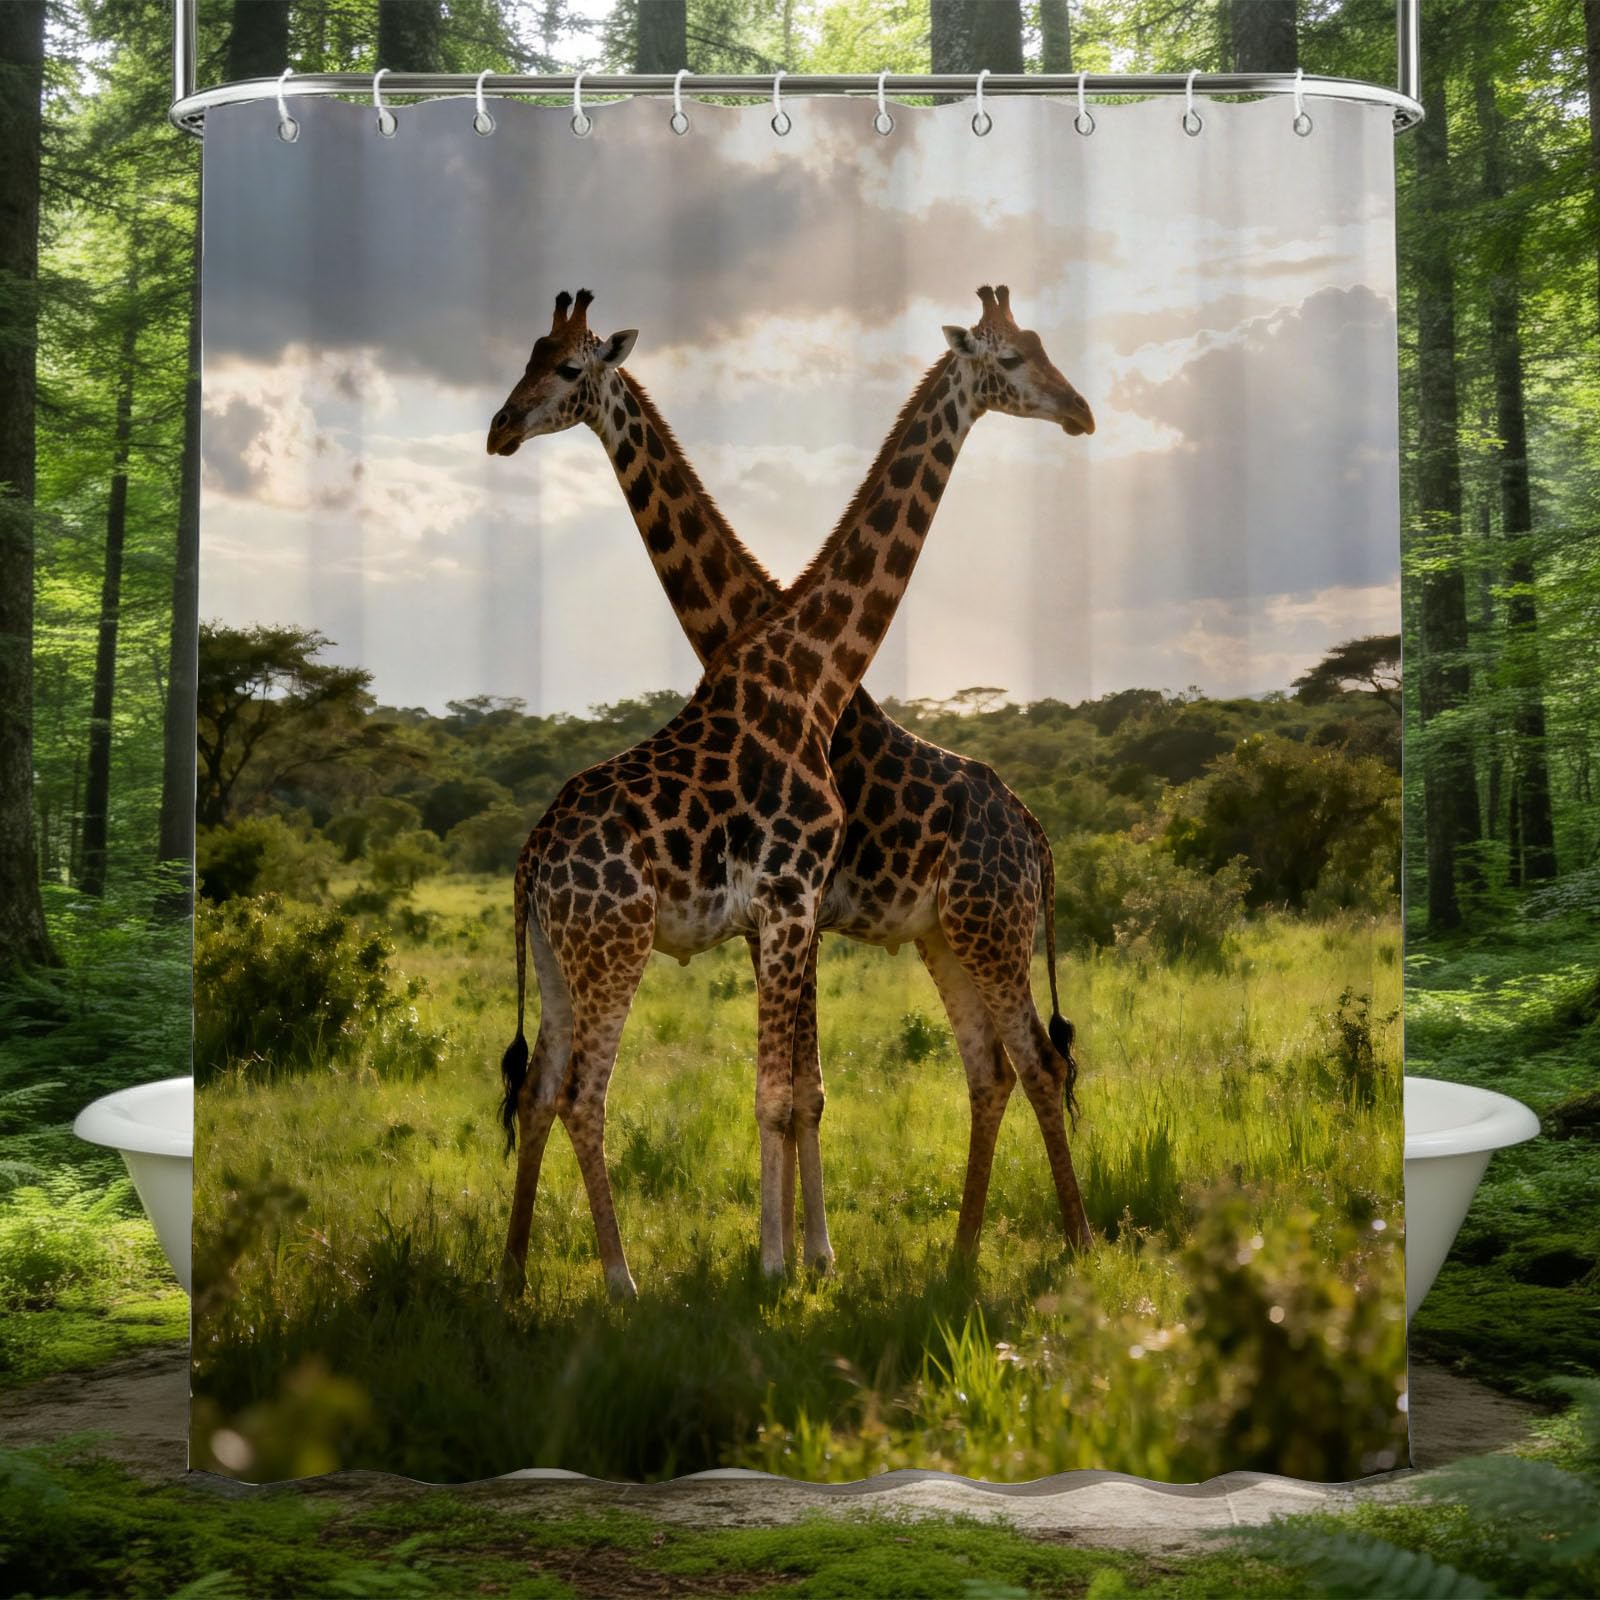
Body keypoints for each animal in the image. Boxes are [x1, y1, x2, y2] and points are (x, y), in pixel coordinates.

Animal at [489, 287, 1095, 1298]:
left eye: (566, 367)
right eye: (1014, 360)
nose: (499, 428)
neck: (801, 662)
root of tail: (1035, 833)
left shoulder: (789, 907)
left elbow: (795, 1089)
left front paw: (800, 1258)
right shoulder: (780, 904)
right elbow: (786, 1090)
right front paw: (786, 1262)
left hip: (966, 928)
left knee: (1019, 1065)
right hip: (681, 945)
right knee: (575, 1094)